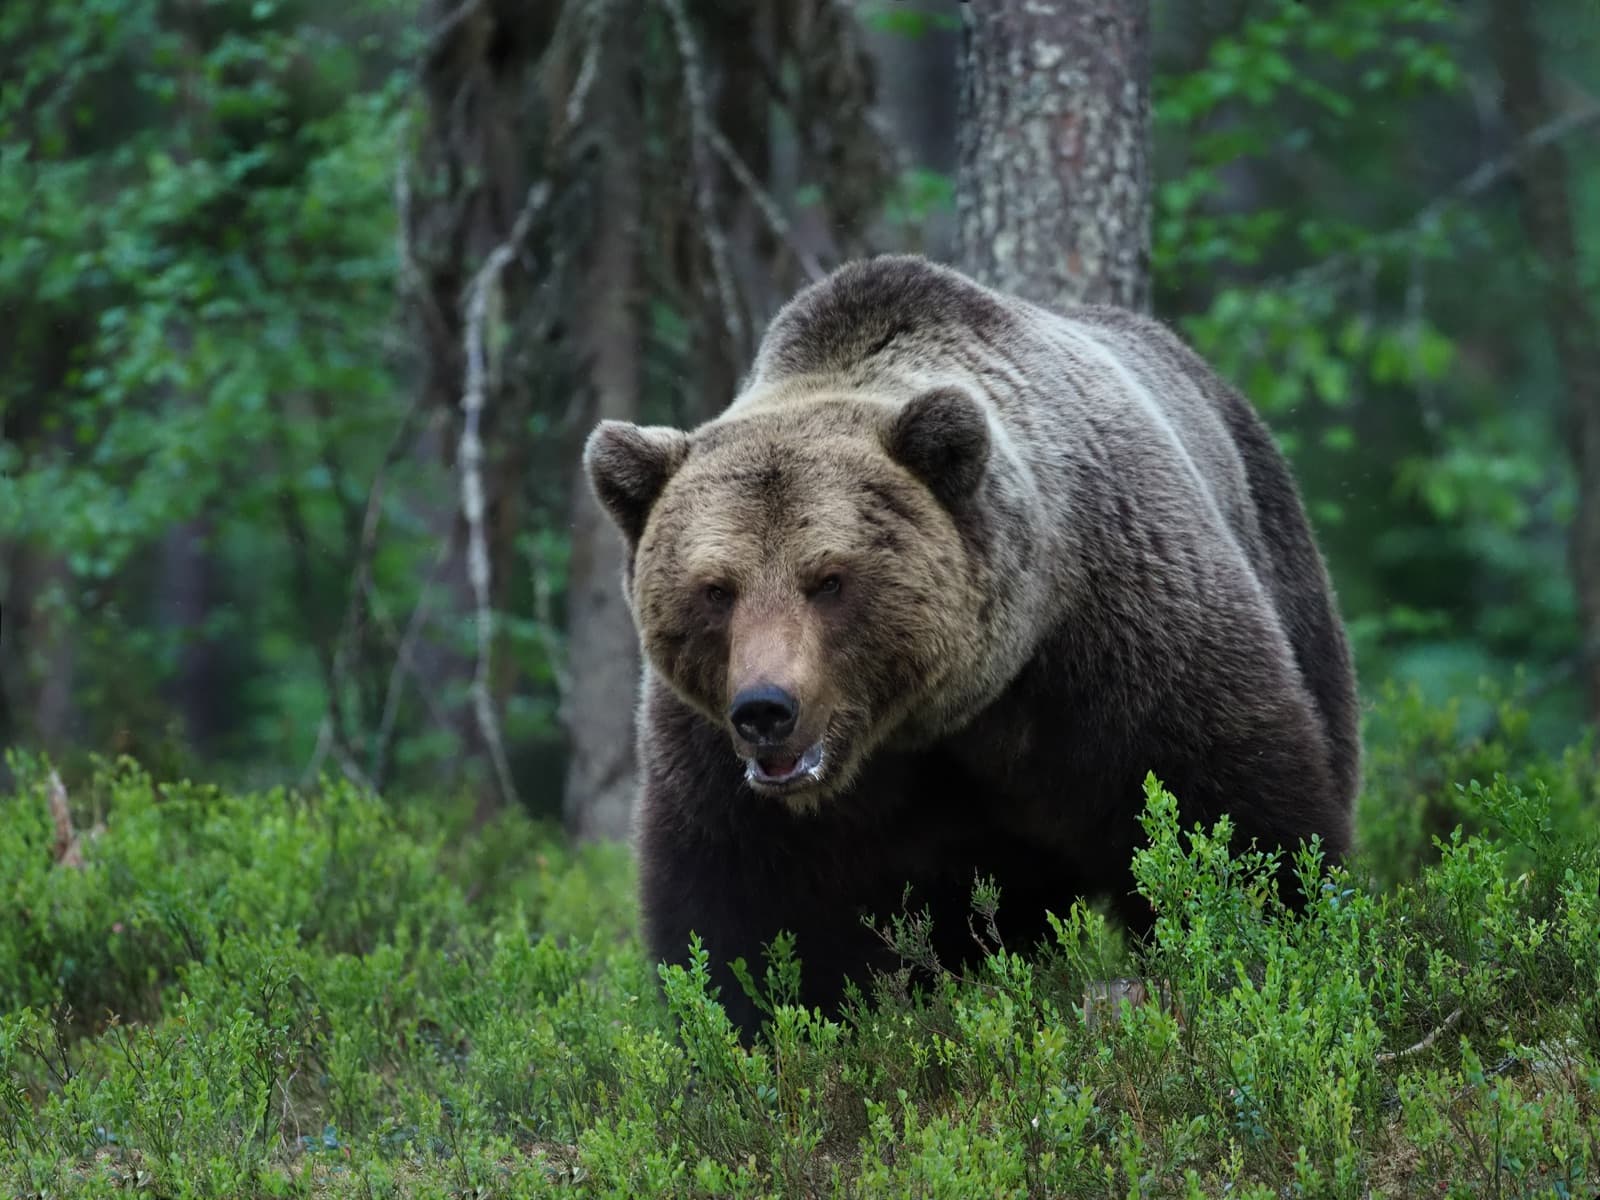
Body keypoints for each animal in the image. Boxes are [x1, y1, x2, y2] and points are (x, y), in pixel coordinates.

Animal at [583, 254, 1359, 1040]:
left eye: (829, 579)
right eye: (717, 589)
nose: (766, 709)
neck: (934, 718)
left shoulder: (1122, 641)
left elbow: (1232, 821)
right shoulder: (718, 761)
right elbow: (746, 916)